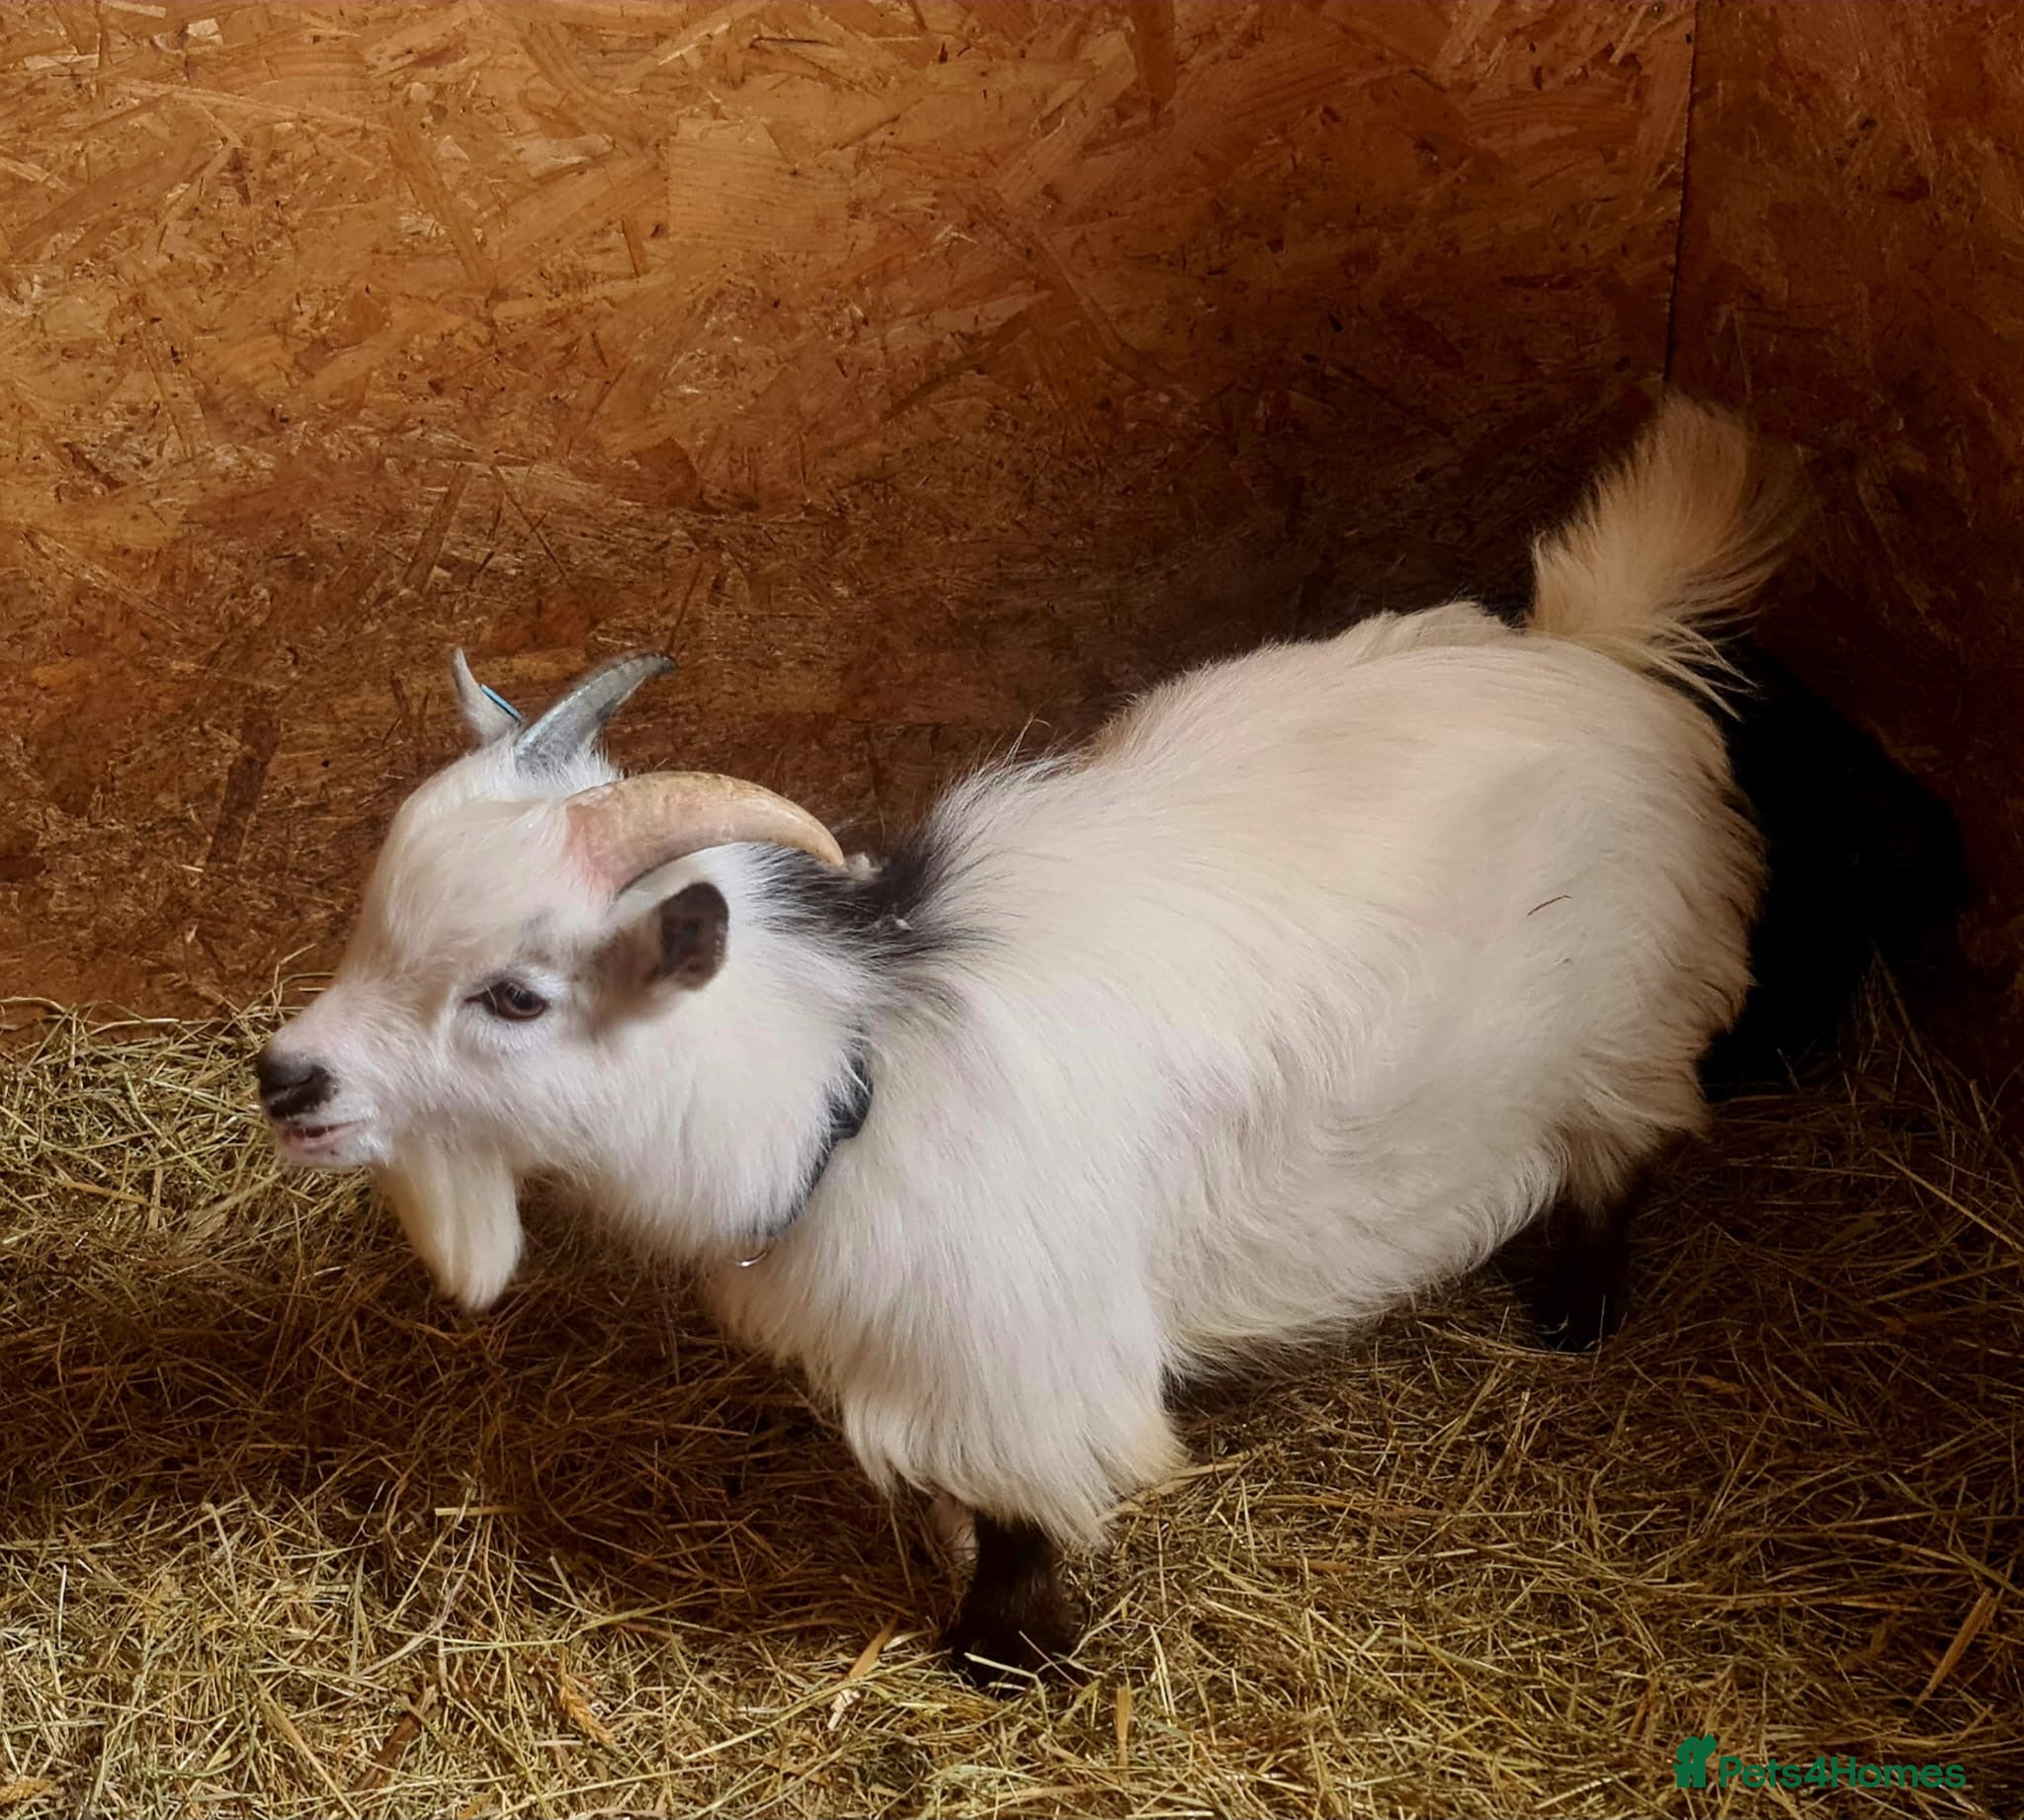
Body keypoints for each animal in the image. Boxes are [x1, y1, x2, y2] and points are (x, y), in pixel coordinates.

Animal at [256, 397, 1794, 1682]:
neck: (853, 1072)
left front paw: (1005, 1657)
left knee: (1620, 1159)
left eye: (516, 995)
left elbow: (1022, 1520)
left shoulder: (1018, 1361)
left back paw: (1574, 1312)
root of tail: (1594, 644)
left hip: (1626, 1034)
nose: (287, 1078)